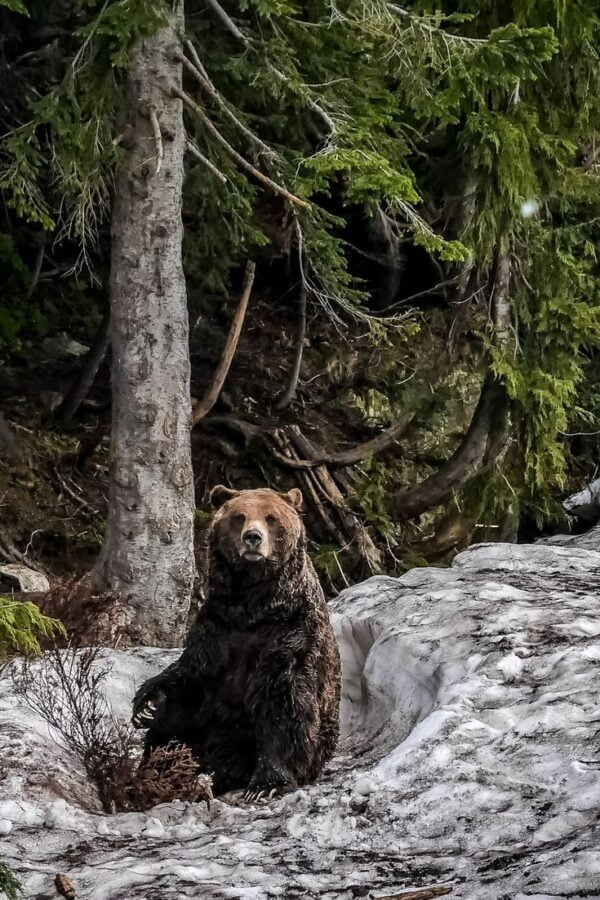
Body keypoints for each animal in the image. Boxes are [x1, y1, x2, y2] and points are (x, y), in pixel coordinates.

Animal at [132, 486, 342, 796]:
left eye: (271, 517)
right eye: (239, 516)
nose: (252, 537)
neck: (252, 607)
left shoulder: (292, 632)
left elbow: (284, 705)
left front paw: (267, 784)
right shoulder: (216, 631)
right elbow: (188, 679)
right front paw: (148, 705)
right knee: (170, 732)